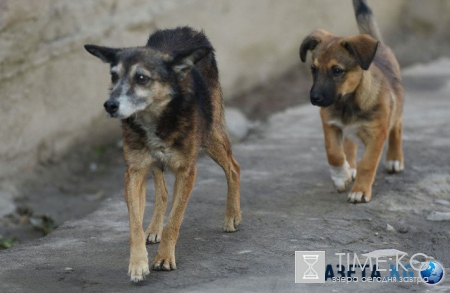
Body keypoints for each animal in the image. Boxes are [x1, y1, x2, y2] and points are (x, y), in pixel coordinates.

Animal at [83, 26, 241, 280]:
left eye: (141, 78)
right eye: (114, 75)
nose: (110, 105)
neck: (155, 119)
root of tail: (186, 29)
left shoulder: (187, 171)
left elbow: (174, 222)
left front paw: (165, 258)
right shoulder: (134, 171)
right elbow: (135, 225)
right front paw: (138, 263)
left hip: (210, 135)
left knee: (234, 167)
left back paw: (232, 216)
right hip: (156, 163)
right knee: (163, 193)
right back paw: (154, 227)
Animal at [298, 0, 404, 203]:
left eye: (337, 71)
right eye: (313, 69)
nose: (314, 98)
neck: (348, 102)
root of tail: (378, 44)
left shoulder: (377, 134)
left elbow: (368, 163)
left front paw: (360, 190)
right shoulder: (330, 124)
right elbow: (334, 153)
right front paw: (341, 175)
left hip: (397, 109)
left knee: (397, 129)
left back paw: (395, 159)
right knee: (349, 145)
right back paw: (350, 167)